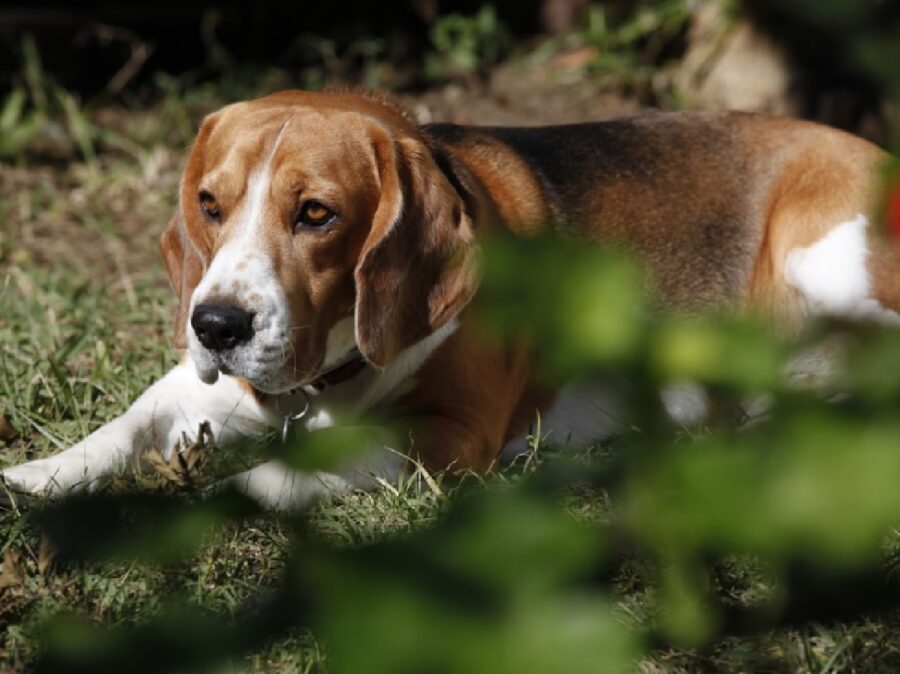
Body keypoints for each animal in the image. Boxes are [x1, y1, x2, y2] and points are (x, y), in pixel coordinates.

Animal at [3, 89, 896, 506]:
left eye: (316, 214)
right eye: (209, 205)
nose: (217, 325)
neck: (331, 375)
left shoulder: (447, 436)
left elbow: (268, 480)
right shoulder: (200, 390)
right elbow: (121, 428)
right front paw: (37, 478)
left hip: (828, 257)